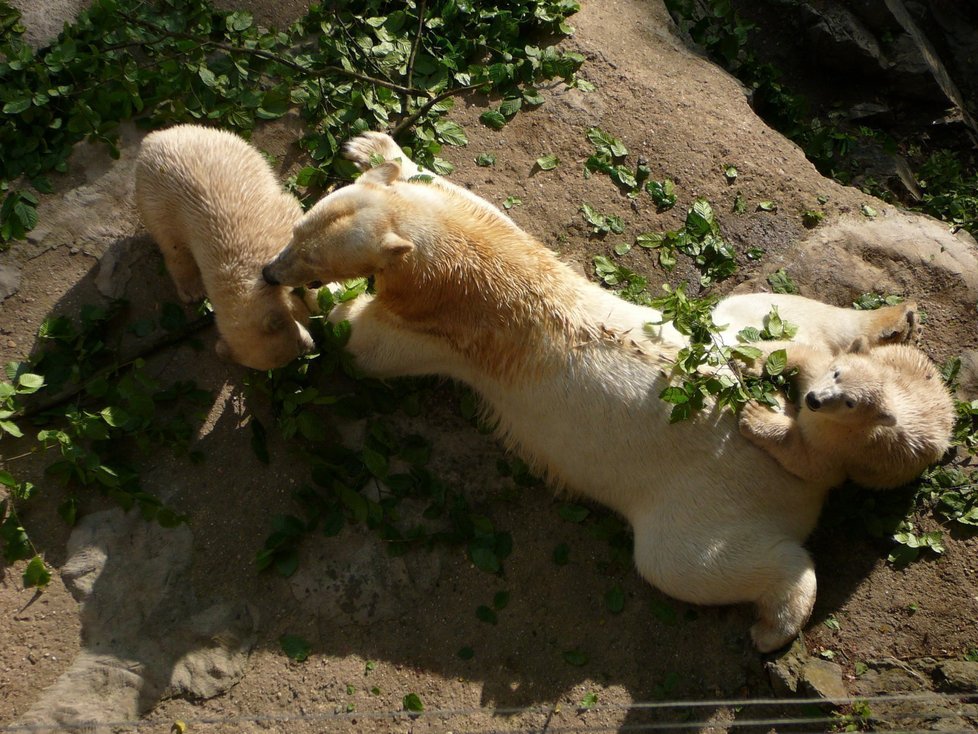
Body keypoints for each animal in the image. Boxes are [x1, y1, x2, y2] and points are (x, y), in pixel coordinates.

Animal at [134, 124, 312, 374]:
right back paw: (191, 289)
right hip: (153, 200)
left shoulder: (277, 227)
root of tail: (152, 138)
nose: (311, 346)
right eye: (296, 342)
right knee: (172, 246)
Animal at [260, 131, 916, 648]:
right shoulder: (496, 240)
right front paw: (373, 147)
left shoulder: (447, 338)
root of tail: (807, 457)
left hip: (703, 504)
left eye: (310, 259)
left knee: (690, 562)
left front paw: (318, 307)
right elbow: (466, 196)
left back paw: (774, 624)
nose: (270, 271)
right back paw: (891, 319)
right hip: (739, 344)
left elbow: (367, 345)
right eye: (297, 227)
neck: (494, 282)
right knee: (771, 315)